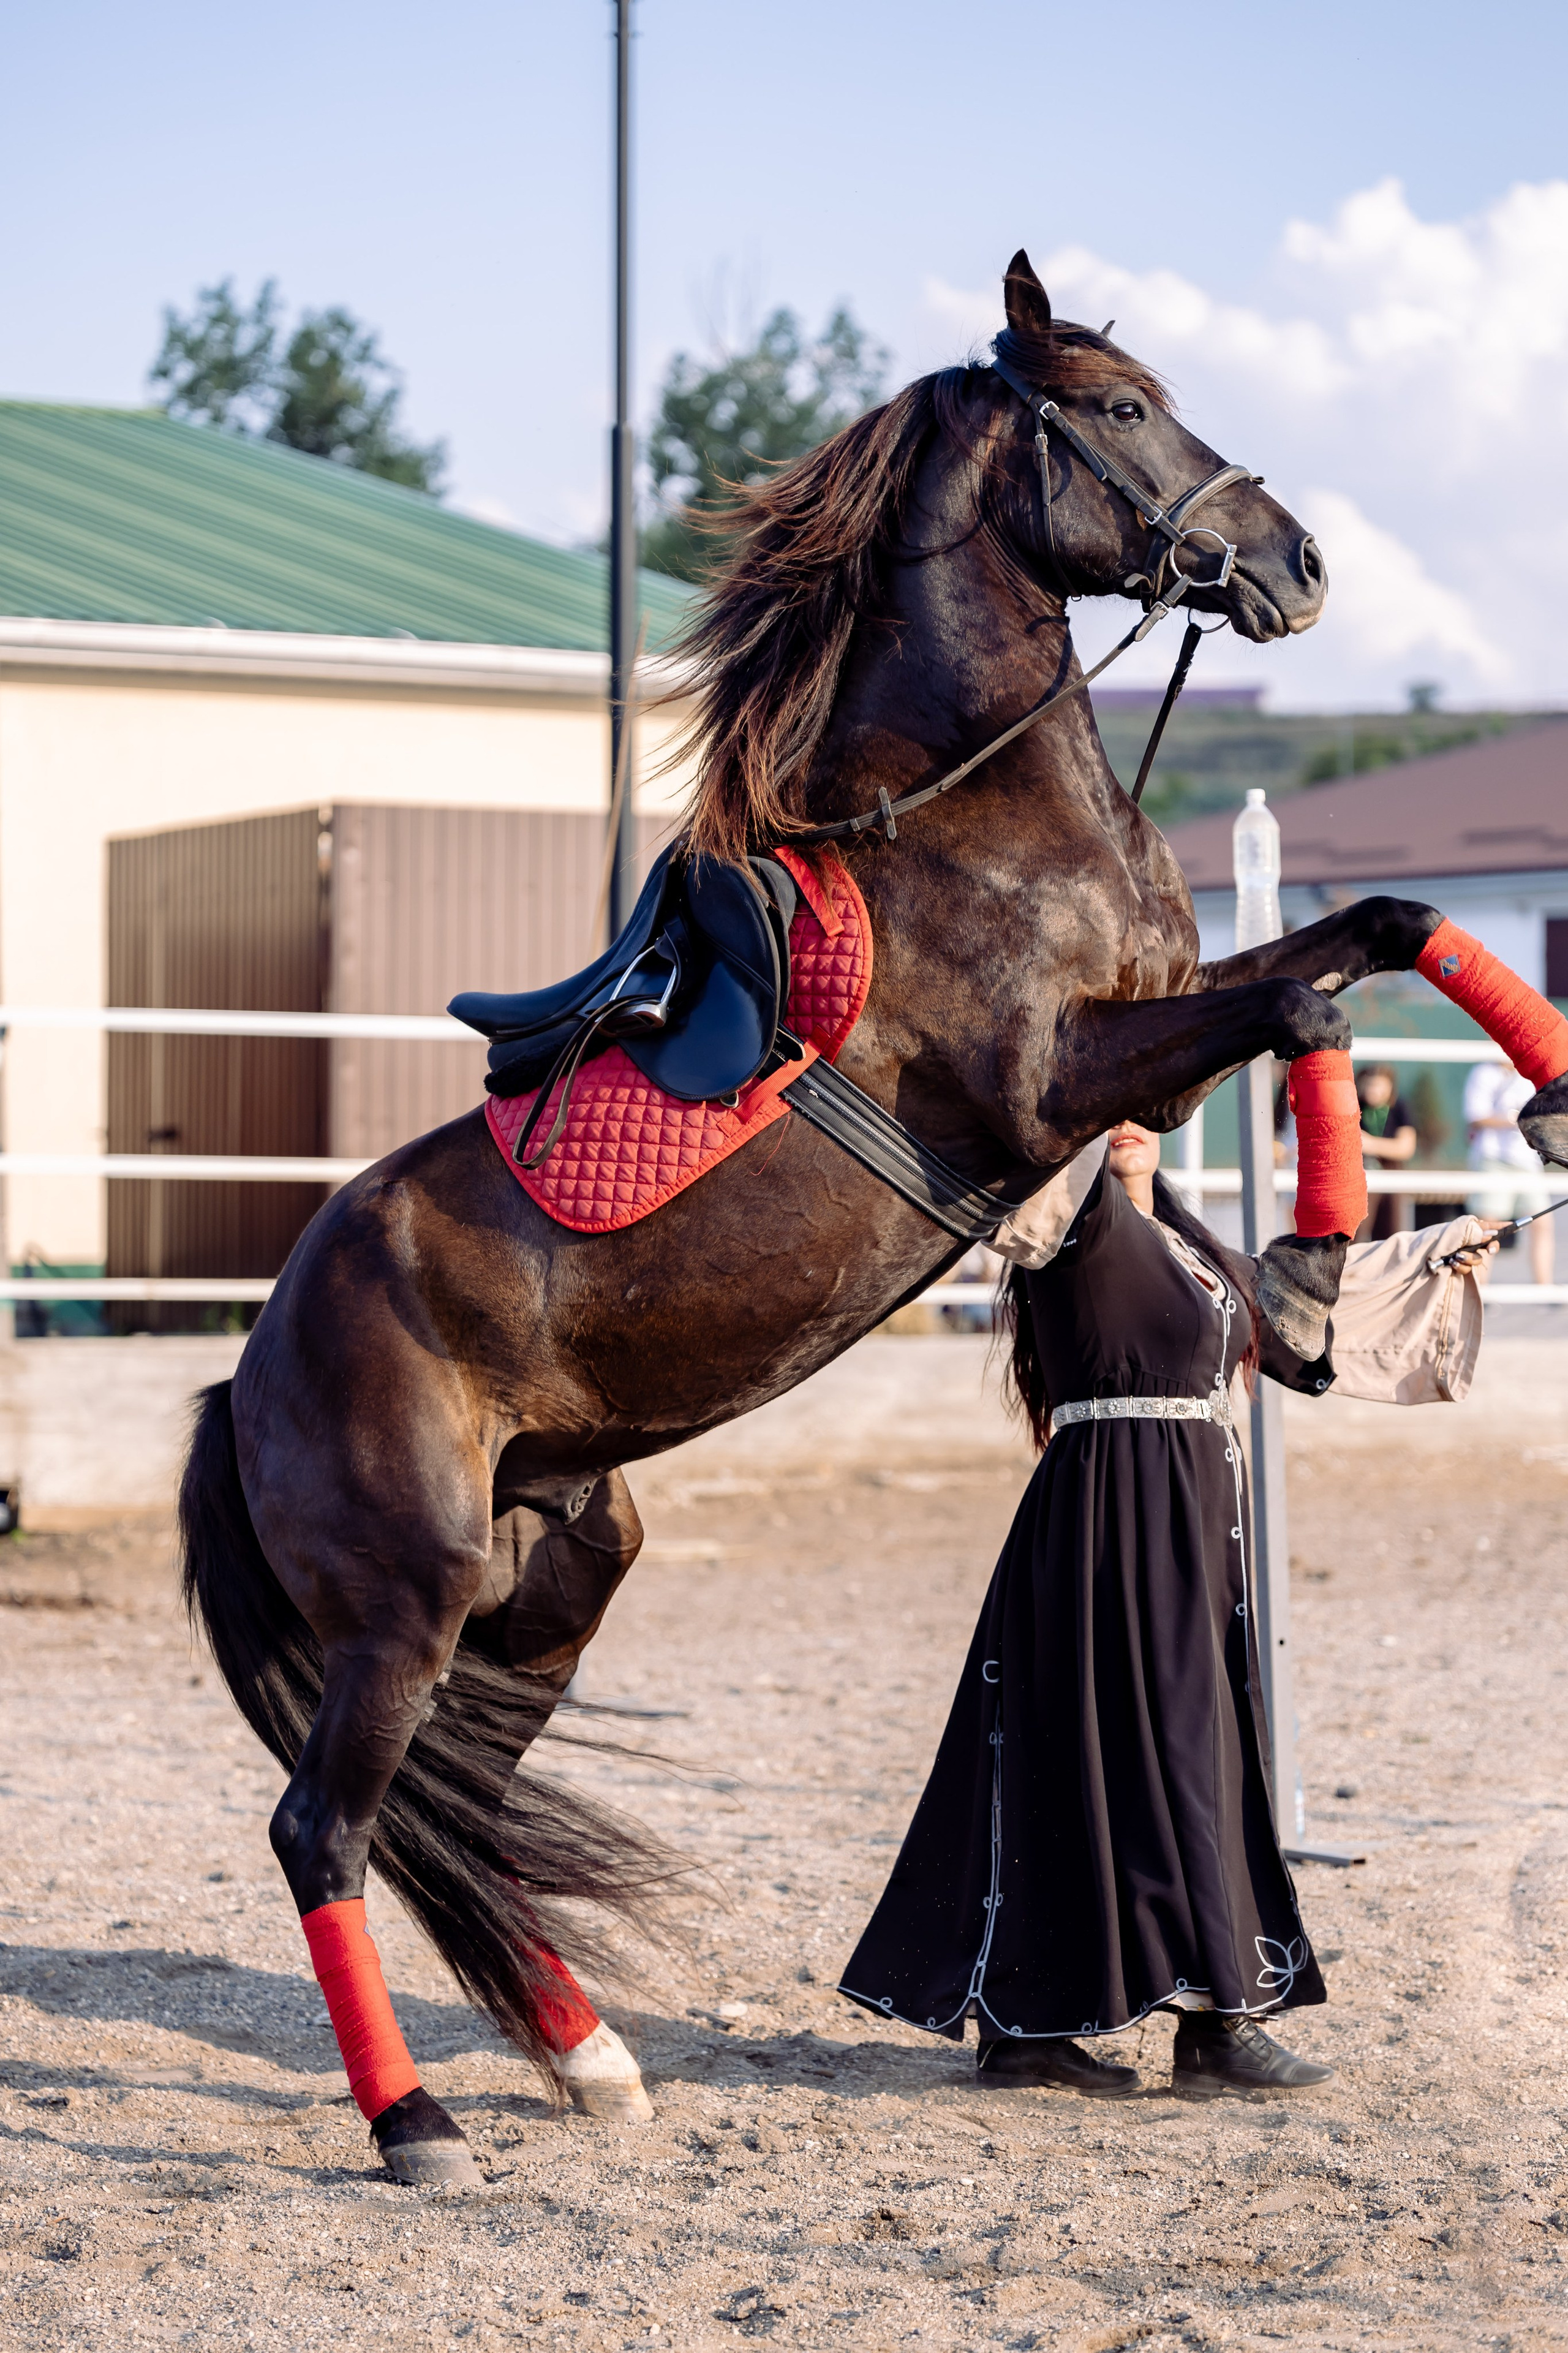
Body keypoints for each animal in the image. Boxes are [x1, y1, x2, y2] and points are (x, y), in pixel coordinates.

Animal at [179, 250, 1568, 2184]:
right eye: (1118, 407)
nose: (1295, 564)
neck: (977, 816)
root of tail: (247, 1374)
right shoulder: (1063, 1082)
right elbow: (1313, 989)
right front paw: (1328, 1253)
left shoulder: (1160, 1022)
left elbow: (1378, 933)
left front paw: (1473, 1143)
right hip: (405, 1597)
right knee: (325, 1825)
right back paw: (418, 2122)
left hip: (552, 1572)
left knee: (444, 1811)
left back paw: (588, 2055)